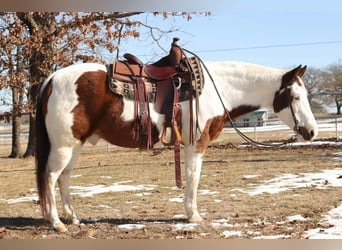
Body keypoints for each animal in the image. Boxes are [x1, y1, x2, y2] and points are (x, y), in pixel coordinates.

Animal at [34, 48, 318, 232]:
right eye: (295, 97)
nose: (312, 131)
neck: (216, 88)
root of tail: (52, 79)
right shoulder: (196, 144)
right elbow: (193, 177)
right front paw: (193, 215)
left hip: (76, 146)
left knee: (64, 178)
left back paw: (73, 218)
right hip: (64, 147)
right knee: (50, 177)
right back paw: (57, 223)